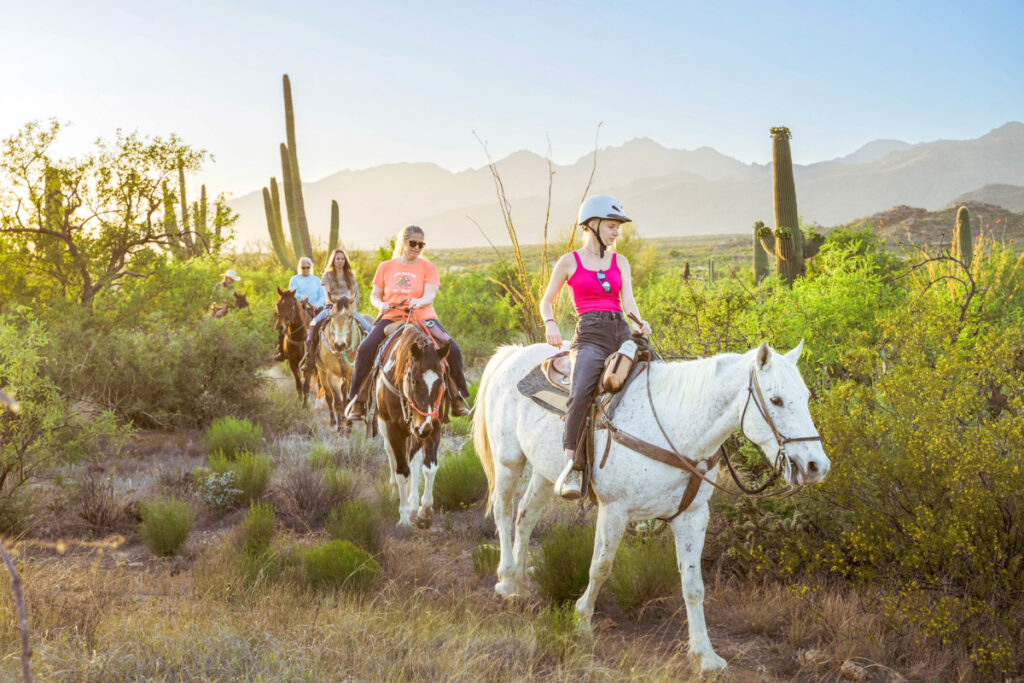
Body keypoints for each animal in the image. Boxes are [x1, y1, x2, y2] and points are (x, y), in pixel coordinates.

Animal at [313, 294, 362, 432]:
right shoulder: (332, 376)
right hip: (322, 372)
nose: (340, 345)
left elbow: (348, 400)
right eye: (332, 316)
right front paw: (340, 428)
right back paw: (333, 421)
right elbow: (338, 402)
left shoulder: (351, 376)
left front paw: (348, 425)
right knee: (329, 397)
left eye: (350, 316)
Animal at [378, 323, 450, 528]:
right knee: (391, 454)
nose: (422, 427)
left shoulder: (434, 424)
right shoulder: (393, 429)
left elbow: (429, 466)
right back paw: (396, 490)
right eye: (413, 380)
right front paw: (403, 519)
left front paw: (424, 511)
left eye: (440, 381)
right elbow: (402, 471)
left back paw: (413, 500)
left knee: (414, 458)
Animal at [473, 339, 831, 671]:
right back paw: (507, 579)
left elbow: (693, 586)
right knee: (504, 511)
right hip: (509, 461)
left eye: (805, 397)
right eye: (776, 400)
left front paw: (704, 655)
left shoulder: (693, 517)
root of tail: (514, 352)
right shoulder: (615, 511)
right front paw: (581, 623)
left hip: (546, 473)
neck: (676, 429)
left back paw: (521, 584)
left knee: (525, 516)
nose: (816, 466)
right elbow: (600, 568)